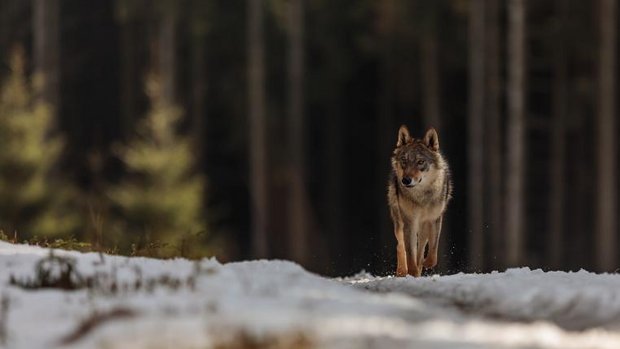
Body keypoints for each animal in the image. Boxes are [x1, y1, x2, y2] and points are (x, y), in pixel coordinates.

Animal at [388, 125, 450, 278]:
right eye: (404, 161)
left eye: (420, 162)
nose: (405, 180)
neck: (422, 197)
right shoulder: (410, 222)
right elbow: (410, 254)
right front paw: (412, 272)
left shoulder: (434, 219)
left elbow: (432, 251)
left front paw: (426, 264)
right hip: (400, 223)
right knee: (401, 246)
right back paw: (402, 271)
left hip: (423, 228)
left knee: (420, 249)